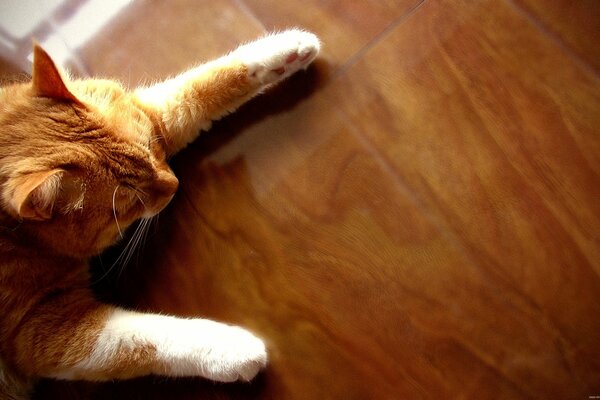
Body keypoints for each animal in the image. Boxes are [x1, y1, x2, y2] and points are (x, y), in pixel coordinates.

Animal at [0, 29, 318, 398]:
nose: (175, 184)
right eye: (129, 205)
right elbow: (136, 342)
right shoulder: (40, 329)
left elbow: (195, 89)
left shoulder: (149, 112)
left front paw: (285, 49)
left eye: (153, 148)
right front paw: (228, 350)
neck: (20, 237)